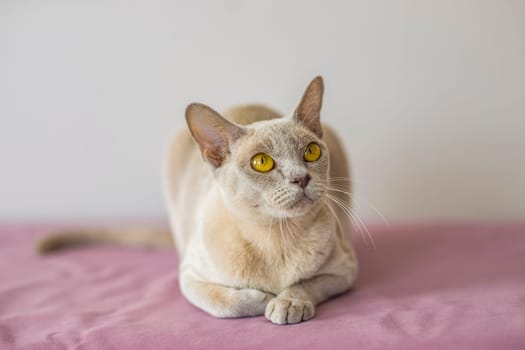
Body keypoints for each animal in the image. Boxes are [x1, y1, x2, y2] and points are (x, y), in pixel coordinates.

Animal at [37, 76, 356, 326]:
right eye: (262, 162)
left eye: (312, 152)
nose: (301, 178)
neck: (275, 236)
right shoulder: (189, 277)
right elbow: (228, 303)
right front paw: (263, 298)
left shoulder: (345, 269)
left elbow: (305, 284)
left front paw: (287, 303)